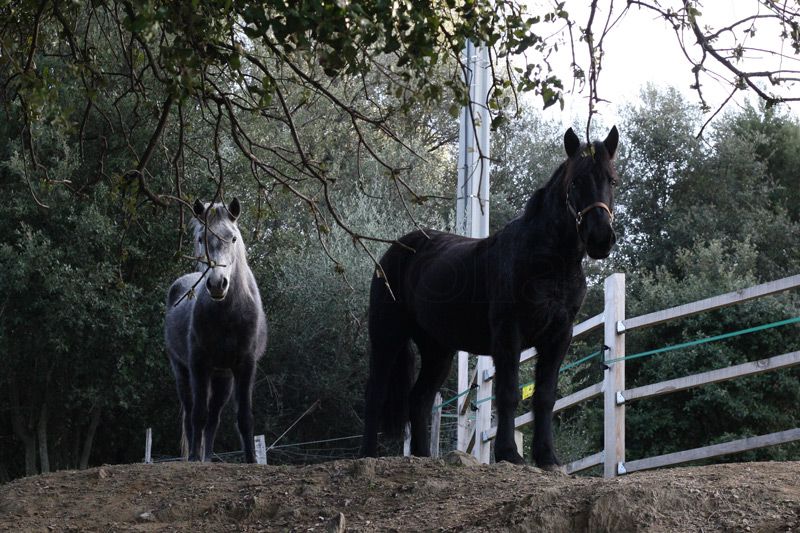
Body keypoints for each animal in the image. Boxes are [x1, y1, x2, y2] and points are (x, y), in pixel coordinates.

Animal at [164, 198, 268, 463]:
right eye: (202, 238)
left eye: (233, 238)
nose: (217, 284)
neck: (227, 314)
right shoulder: (198, 365)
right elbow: (198, 415)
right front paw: (193, 459)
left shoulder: (245, 366)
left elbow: (244, 417)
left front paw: (251, 460)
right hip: (182, 372)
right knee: (192, 414)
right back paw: (195, 457)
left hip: (223, 378)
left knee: (214, 418)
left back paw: (209, 457)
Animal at [361, 127, 619, 469]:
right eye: (575, 181)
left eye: (612, 180)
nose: (600, 238)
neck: (550, 263)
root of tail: (394, 251)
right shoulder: (509, 333)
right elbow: (508, 393)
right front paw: (509, 454)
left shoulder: (558, 335)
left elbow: (545, 396)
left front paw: (547, 457)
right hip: (388, 336)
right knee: (375, 392)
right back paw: (367, 455)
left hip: (437, 348)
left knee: (419, 399)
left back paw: (423, 458)